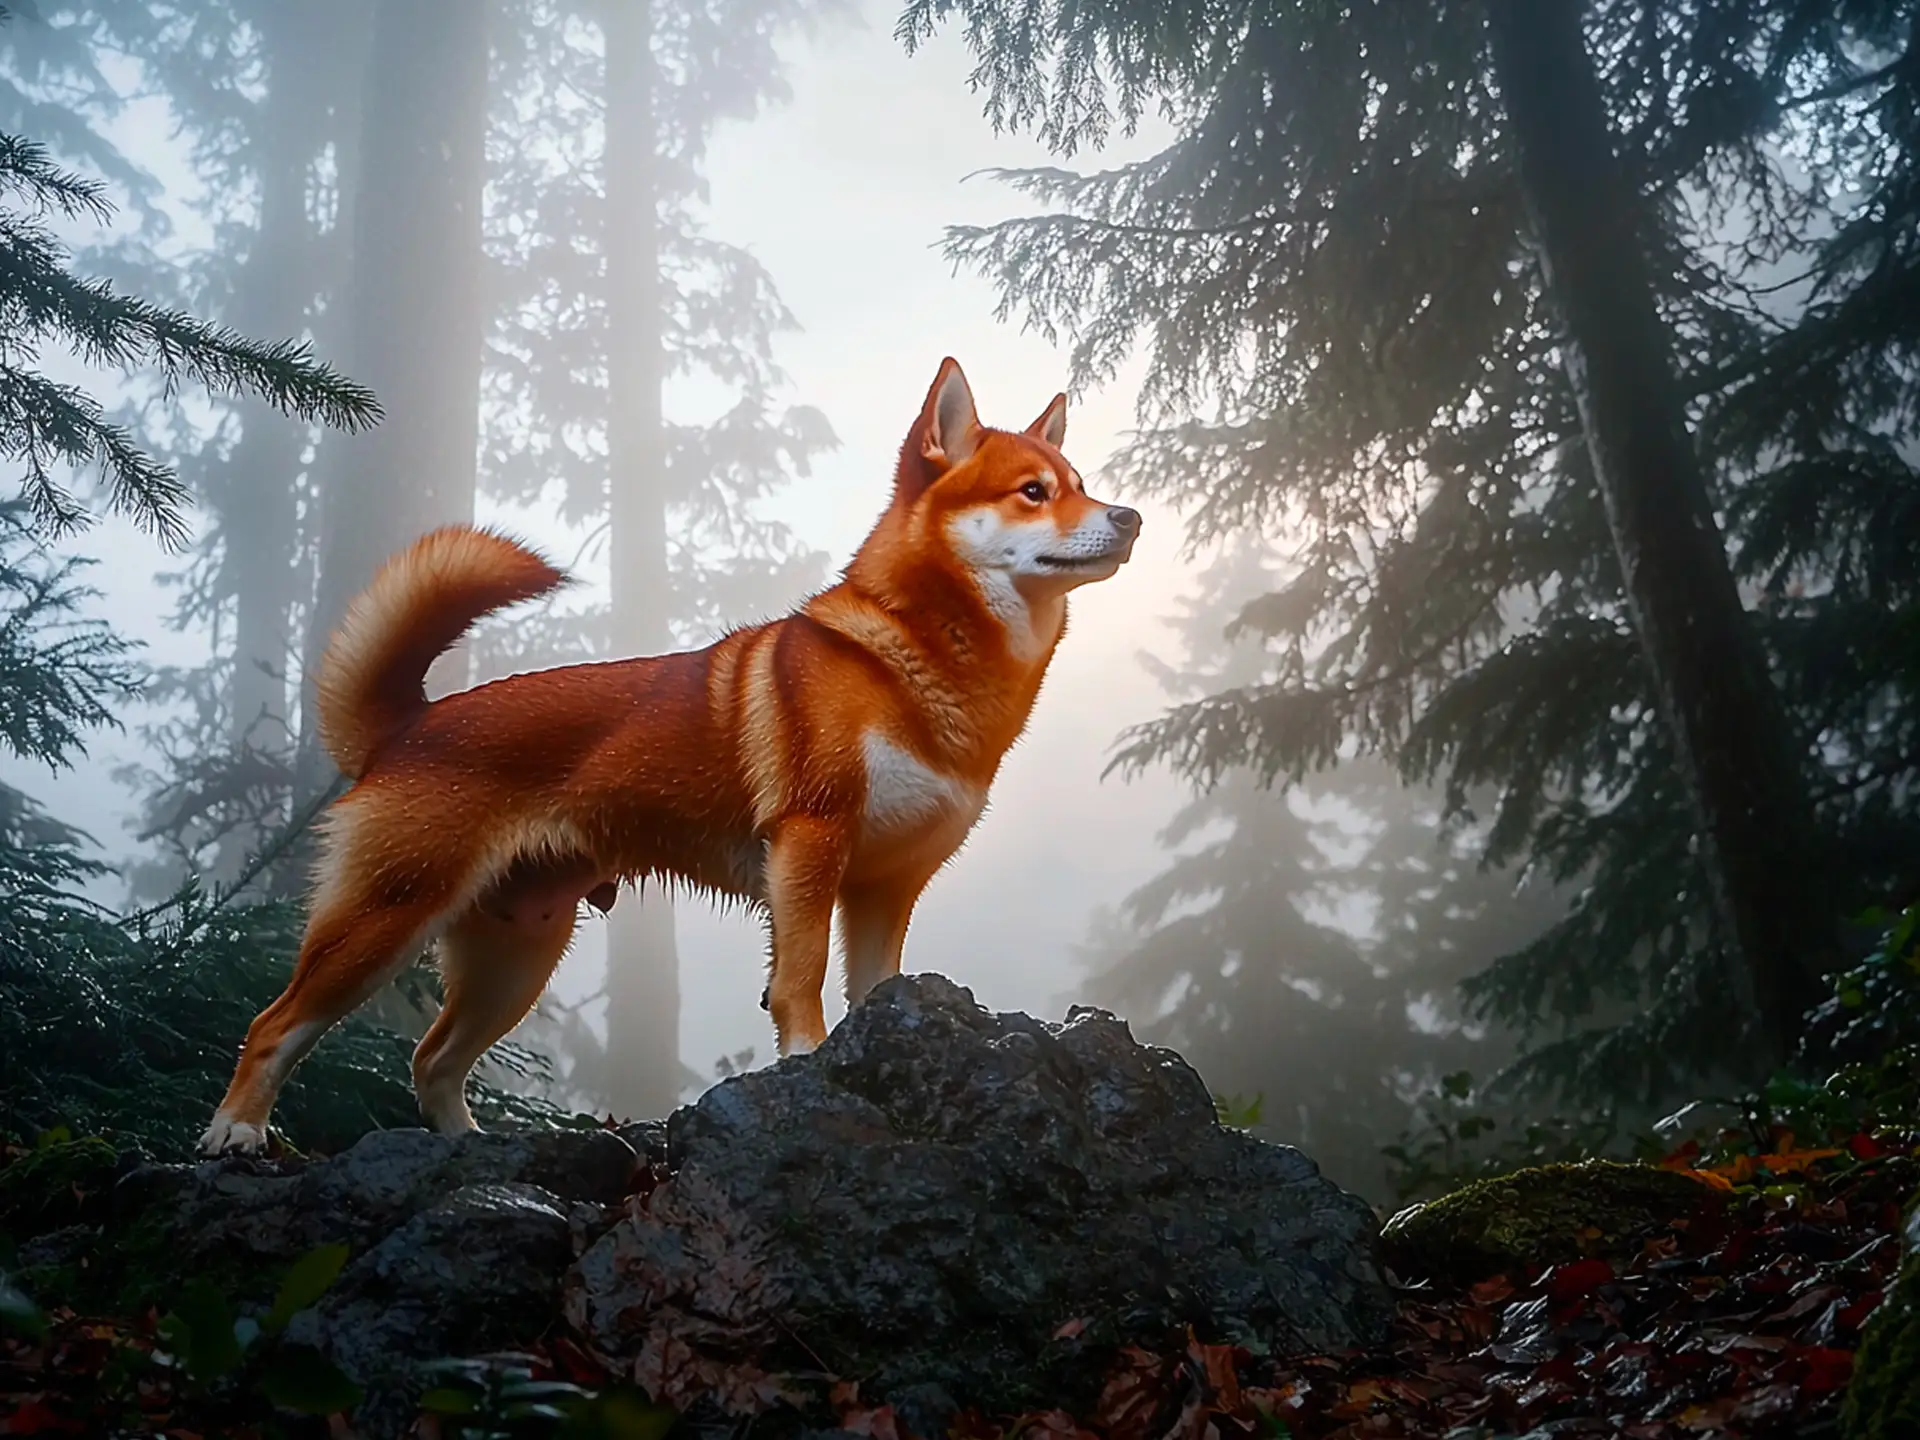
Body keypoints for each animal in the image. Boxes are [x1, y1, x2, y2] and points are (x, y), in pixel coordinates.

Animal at [202, 355, 1136, 1159]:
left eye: (1082, 485)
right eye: (1032, 491)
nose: (1128, 517)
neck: (915, 657)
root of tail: (405, 726)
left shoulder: (886, 888)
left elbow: (874, 990)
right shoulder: (808, 846)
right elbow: (799, 984)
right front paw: (807, 1066)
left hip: (517, 955)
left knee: (430, 1060)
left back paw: (472, 1148)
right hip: (384, 919)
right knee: (272, 1025)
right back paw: (236, 1134)